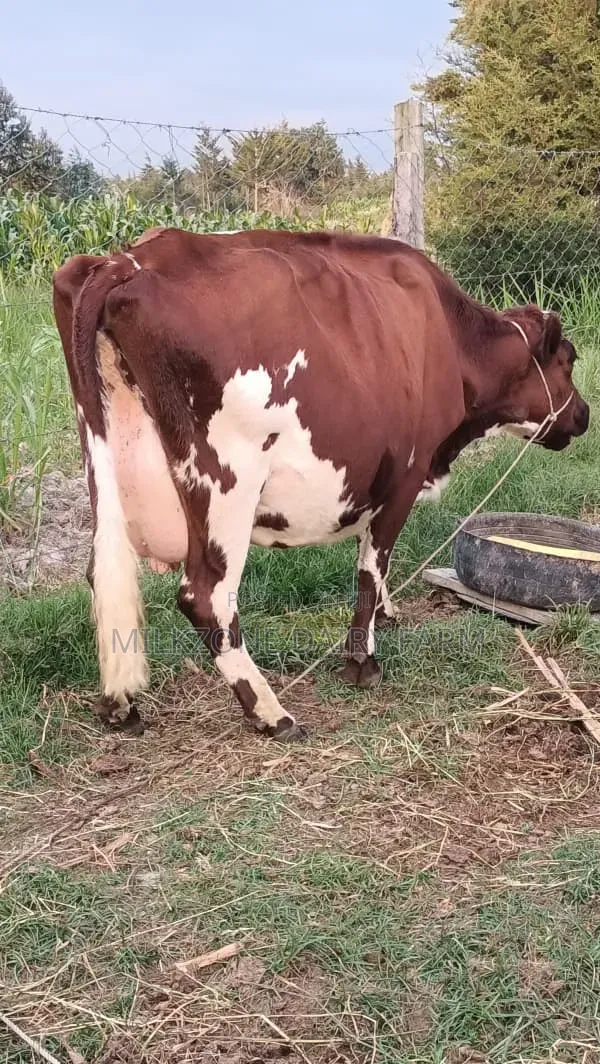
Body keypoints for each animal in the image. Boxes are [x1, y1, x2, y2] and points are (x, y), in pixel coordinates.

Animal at [52, 228, 589, 739]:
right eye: (568, 359)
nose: (583, 415)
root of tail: (127, 261)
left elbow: (371, 558)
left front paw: (386, 615)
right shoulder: (406, 474)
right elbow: (372, 565)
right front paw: (362, 659)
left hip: (102, 461)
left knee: (105, 575)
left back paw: (121, 705)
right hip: (227, 483)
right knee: (206, 597)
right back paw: (271, 713)